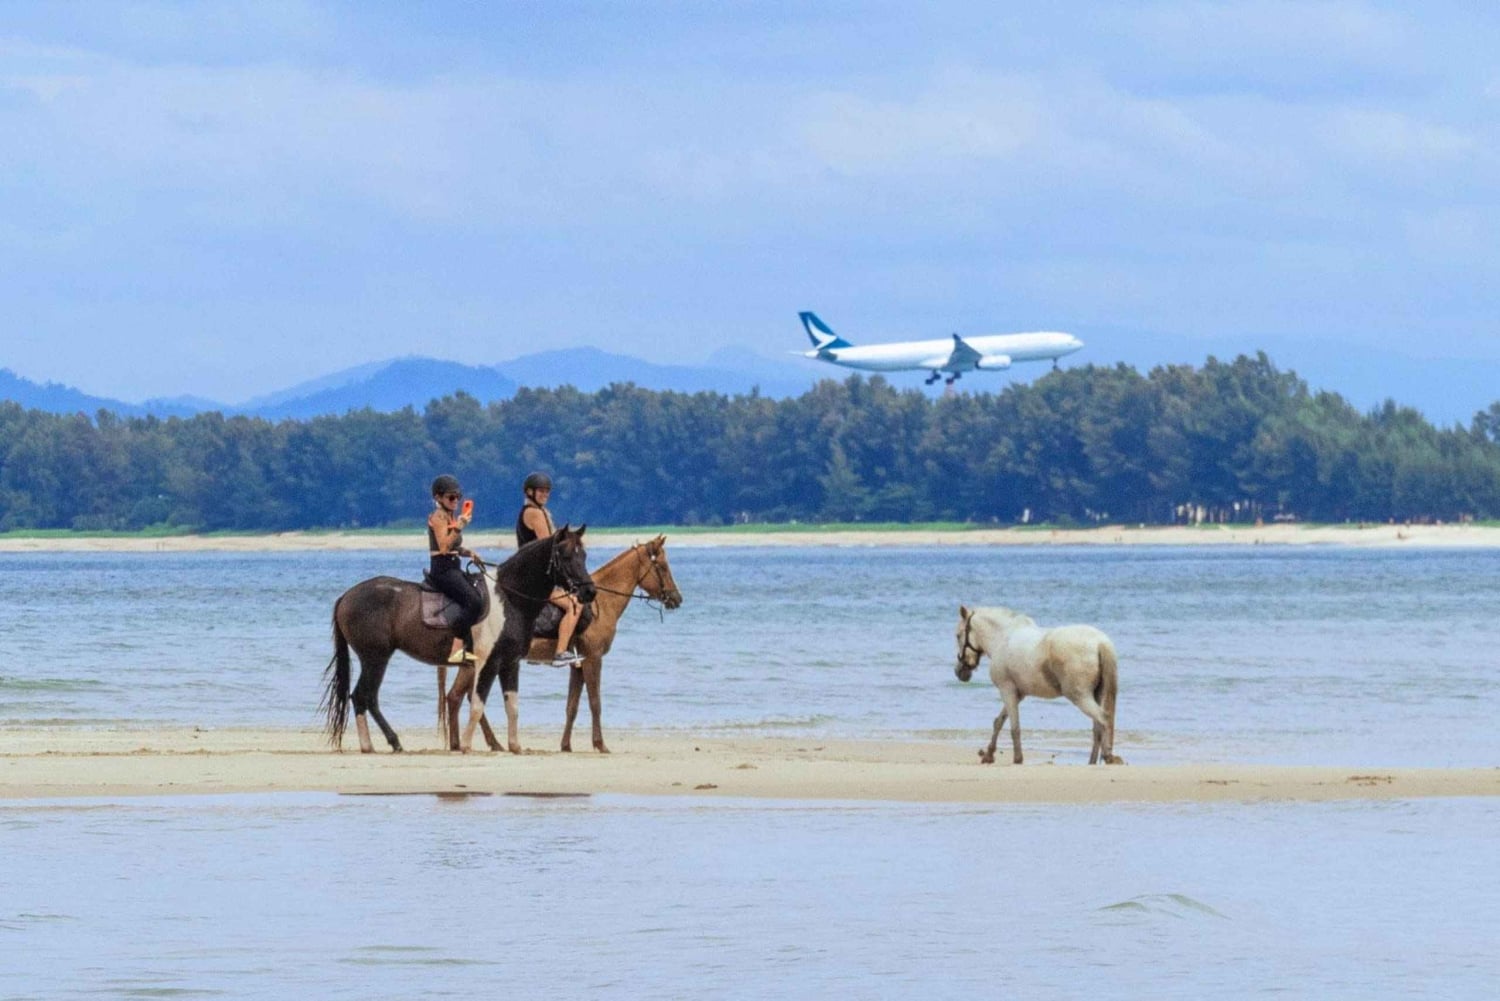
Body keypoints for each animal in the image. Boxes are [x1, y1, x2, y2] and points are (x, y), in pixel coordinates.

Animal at [320, 525, 594, 754]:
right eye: (565, 556)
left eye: (584, 555)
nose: (589, 591)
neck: (509, 599)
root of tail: (346, 596)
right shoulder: (488, 663)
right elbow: (477, 704)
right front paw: (466, 745)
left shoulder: (510, 663)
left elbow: (512, 706)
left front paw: (515, 746)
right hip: (375, 658)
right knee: (363, 696)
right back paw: (375, 744)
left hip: (375, 659)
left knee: (366, 697)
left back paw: (388, 743)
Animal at [443, 535, 683, 754]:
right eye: (662, 566)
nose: (677, 598)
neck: (602, 604)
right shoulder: (593, 659)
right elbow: (595, 702)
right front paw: (600, 744)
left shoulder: (578, 665)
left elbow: (572, 706)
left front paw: (566, 745)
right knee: (460, 697)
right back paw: (481, 743)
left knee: (457, 697)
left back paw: (470, 743)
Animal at [954, 605, 1124, 765]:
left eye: (958, 635)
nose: (959, 672)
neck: (1003, 637)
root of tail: (1100, 642)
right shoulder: (1018, 694)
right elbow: (999, 722)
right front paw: (989, 755)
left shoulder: (1007, 690)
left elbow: (1014, 727)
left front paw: (1017, 758)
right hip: (1096, 695)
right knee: (1097, 728)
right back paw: (1092, 761)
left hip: (1080, 697)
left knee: (1103, 719)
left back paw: (1108, 756)